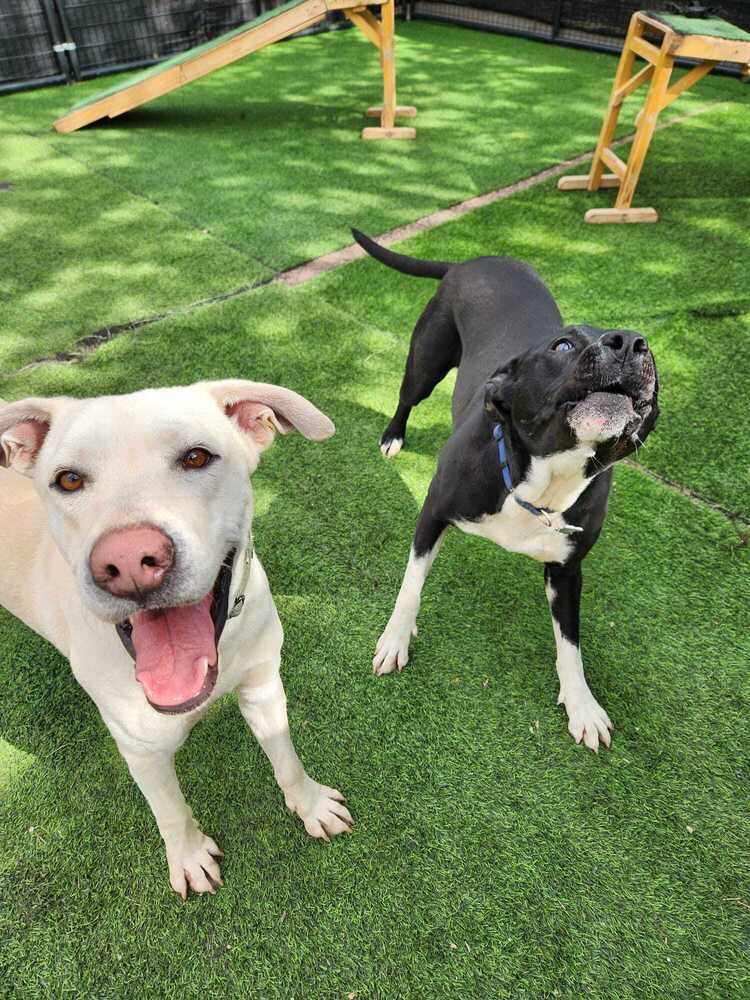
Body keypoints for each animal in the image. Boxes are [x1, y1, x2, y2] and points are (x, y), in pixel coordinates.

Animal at [0, 380, 352, 900]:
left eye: (196, 457)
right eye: (68, 480)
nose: (128, 561)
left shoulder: (264, 687)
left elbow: (286, 758)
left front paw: (310, 806)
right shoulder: (142, 750)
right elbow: (170, 810)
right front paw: (188, 858)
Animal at [356, 230, 660, 752]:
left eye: (650, 350)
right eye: (562, 344)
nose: (630, 342)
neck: (542, 482)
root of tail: (471, 261)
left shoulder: (567, 570)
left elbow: (570, 642)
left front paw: (582, 704)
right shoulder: (432, 514)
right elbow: (410, 585)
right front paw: (395, 639)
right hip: (426, 360)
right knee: (406, 396)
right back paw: (393, 435)